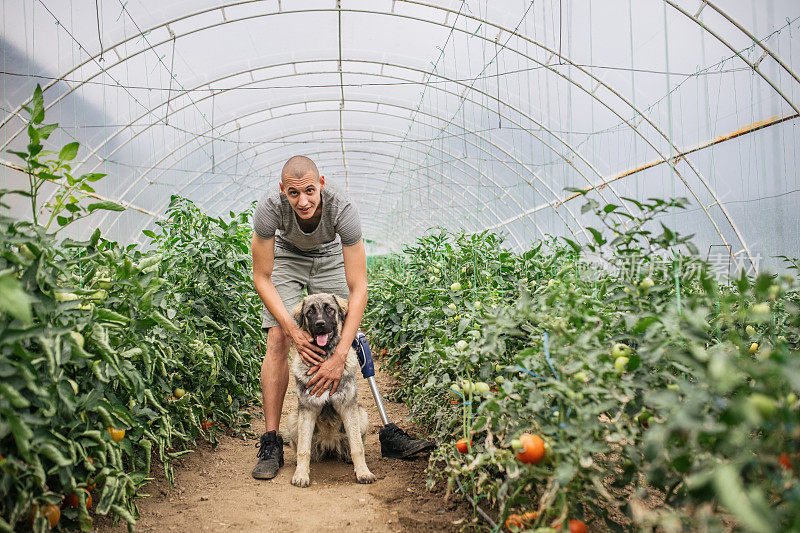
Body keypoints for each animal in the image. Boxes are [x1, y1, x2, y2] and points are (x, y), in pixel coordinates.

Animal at [284, 290, 376, 486]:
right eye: (310, 312)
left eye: (329, 309)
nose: (320, 324)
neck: (325, 359)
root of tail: (329, 443)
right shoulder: (308, 409)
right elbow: (303, 448)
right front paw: (301, 474)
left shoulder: (348, 407)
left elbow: (357, 446)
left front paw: (363, 472)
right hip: (293, 418)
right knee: (300, 446)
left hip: (362, 415)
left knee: (355, 443)